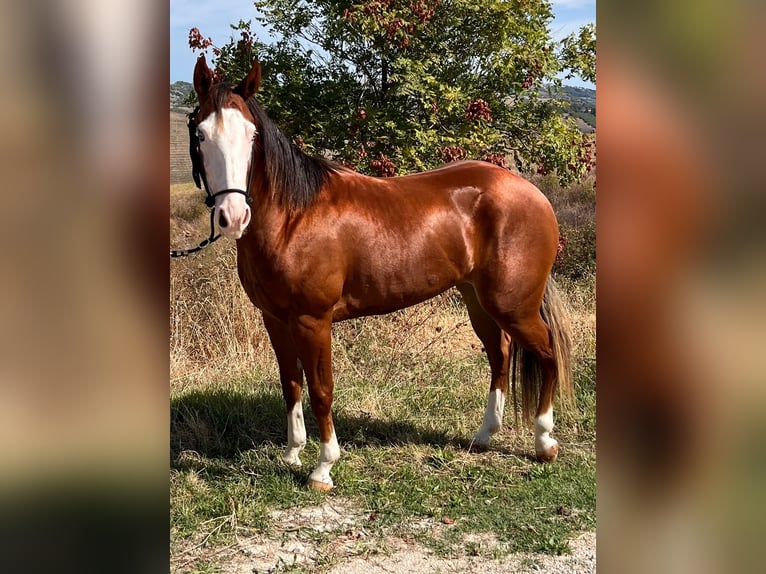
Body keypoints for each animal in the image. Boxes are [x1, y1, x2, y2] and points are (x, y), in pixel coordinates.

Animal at [189, 55, 573, 491]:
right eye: (200, 134)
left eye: (251, 135)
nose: (233, 216)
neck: (293, 217)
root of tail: (532, 193)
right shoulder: (274, 319)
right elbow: (291, 384)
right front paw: (291, 454)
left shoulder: (312, 321)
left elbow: (321, 389)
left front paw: (323, 468)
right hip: (479, 301)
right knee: (501, 355)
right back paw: (484, 435)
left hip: (514, 306)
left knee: (547, 353)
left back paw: (545, 443)